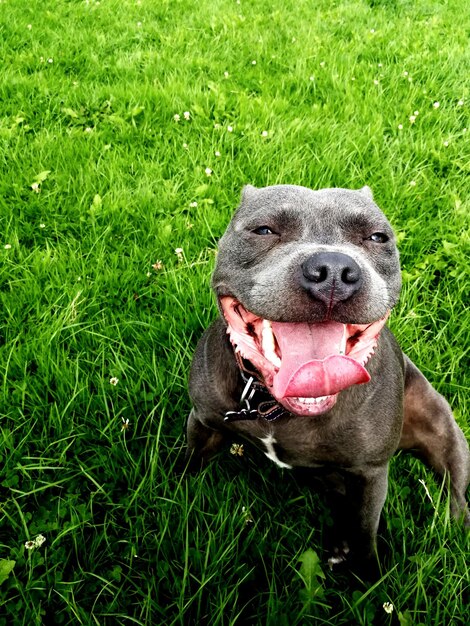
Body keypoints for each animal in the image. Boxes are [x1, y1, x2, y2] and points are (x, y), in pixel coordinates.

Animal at [185, 182, 468, 572]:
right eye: (264, 230)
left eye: (377, 237)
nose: (333, 270)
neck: (275, 405)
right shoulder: (203, 422)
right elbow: (188, 467)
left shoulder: (370, 473)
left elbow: (365, 532)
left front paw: (367, 577)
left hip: (443, 431)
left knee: (455, 495)